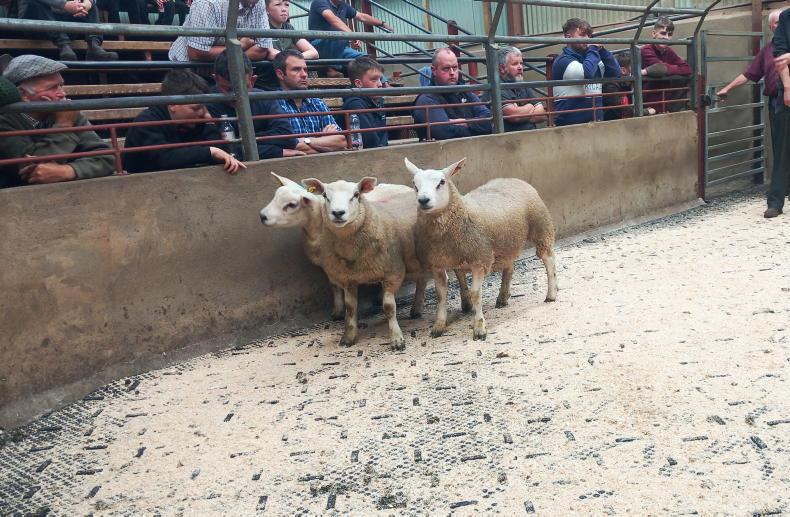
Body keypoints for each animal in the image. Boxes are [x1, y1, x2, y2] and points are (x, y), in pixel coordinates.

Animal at [259, 173, 424, 322]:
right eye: (275, 197)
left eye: (292, 204)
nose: (262, 216)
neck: (318, 225)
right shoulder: (328, 264)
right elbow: (334, 285)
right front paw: (337, 311)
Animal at [300, 176, 429, 349]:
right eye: (325, 195)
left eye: (356, 194)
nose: (338, 213)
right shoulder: (349, 279)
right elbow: (350, 308)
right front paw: (348, 337)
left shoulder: (393, 273)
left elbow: (389, 307)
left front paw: (396, 338)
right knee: (422, 280)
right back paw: (416, 310)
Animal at [405, 157, 558, 341]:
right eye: (414, 184)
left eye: (441, 182)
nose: (423, 200)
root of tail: (514, 179)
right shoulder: (437, 264)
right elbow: (441, 295)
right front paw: (438, 326)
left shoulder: (480, 259)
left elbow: (476, 294)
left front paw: (479, 328)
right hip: (506, 241)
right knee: (509, 267)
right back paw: (502, 297)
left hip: (541, 227)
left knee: (548, 259)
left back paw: (551, 294)